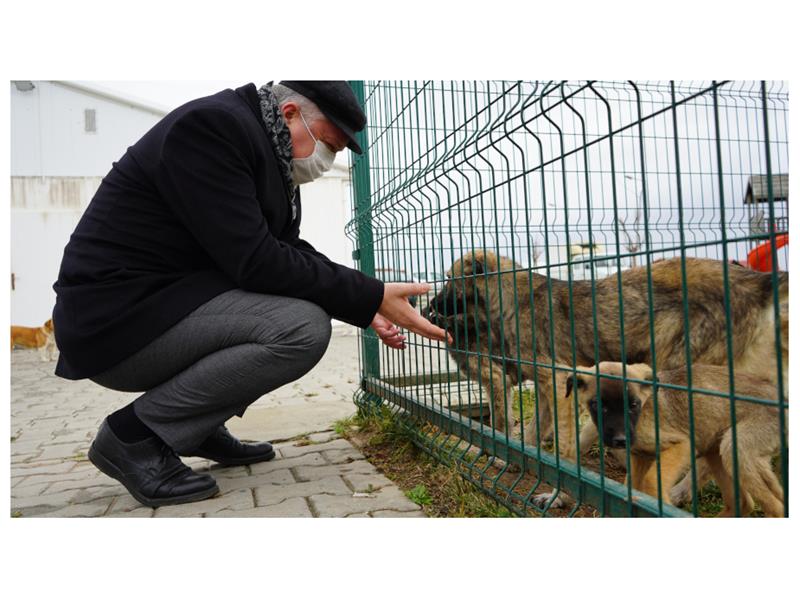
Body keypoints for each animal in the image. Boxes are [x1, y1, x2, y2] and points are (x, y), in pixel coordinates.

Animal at [572, 360, 784, 516]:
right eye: (598, 405)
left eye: (633, 404)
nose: (620, 439)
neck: (643, 411)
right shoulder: (641, 457)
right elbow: (633, 488)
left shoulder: (681, 445)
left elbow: (651, 484)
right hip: (717, 452)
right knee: (743, 503)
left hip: (735, 447)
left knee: (776, 508)